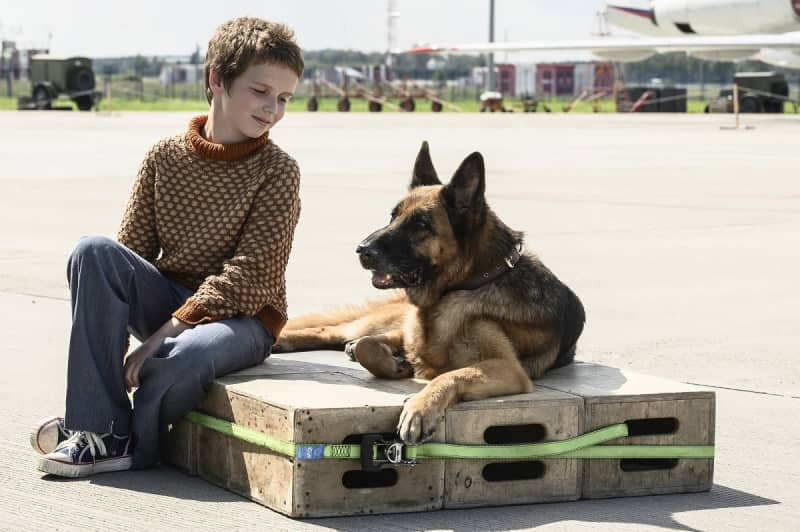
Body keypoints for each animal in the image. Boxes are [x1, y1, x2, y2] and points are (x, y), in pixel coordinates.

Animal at [278, 142, 584, 444]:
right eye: (393, 216)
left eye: (420, 225)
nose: (361, 249)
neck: (467, 284)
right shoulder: (406, 336)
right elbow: (368, 346)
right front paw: (394, 364)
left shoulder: (508, 369)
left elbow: (452, 375)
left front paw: (419, 408)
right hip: (377, 321)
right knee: (331, 331)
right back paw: (284, 339)